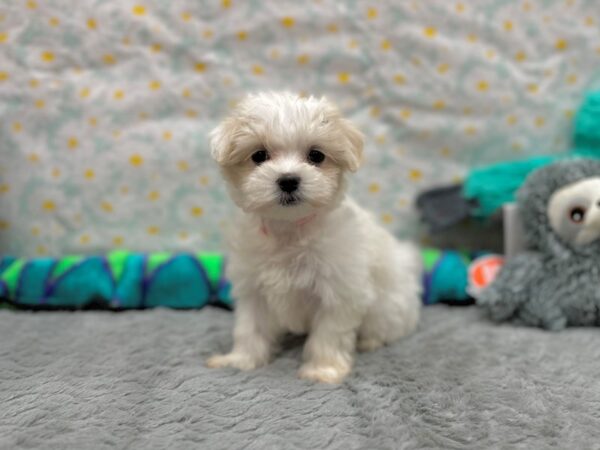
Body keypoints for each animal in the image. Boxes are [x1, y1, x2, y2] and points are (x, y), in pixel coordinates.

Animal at [206, 91, 422, 384]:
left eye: (316, 156)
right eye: (259, 155)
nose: (288, 180)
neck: (290, 229)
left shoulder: (340, 290)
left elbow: (329, 334)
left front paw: (322, 370)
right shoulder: (253, 288)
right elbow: (250, 328)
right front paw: (240, 360)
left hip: (390, 308)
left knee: (388, 328)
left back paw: (369, 342)